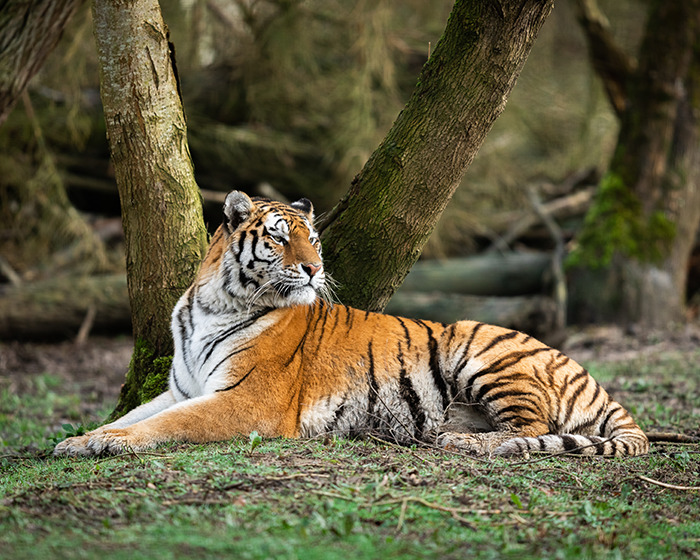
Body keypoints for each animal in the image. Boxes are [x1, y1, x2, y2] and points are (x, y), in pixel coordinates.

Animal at [54, 191, 649, 458]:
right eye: (278, 237)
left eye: (312, 239)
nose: (315, 269)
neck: (215, 304)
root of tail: (588, 375)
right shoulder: (182, 387)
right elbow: (138, 412)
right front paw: (80, 439)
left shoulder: (247, 399)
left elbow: (166, 424)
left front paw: (109, 444)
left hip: (482, 349)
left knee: (532, 427)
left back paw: (467, 444)